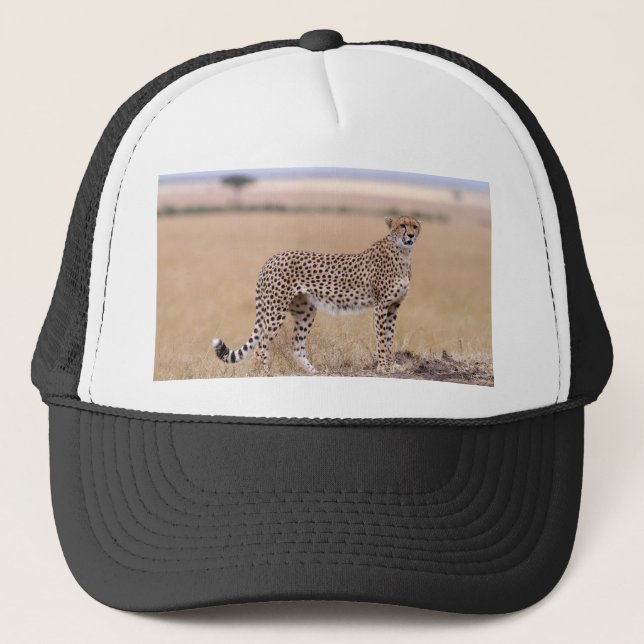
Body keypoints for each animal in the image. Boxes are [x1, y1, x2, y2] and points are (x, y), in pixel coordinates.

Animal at [212, 215, 421, 374]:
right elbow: (382, 339)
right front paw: (384, 367)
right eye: (402, 225)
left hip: (305, 311)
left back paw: (314, 372)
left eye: (415, 226)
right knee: (261, 345)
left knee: (296, 347)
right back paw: (263, 374)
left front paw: (392, 365)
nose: (410, 235)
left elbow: (390, 337)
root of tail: (271, 258)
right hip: (275, 310)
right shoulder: (380, 306)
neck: (402, 253)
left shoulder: (393, 307)